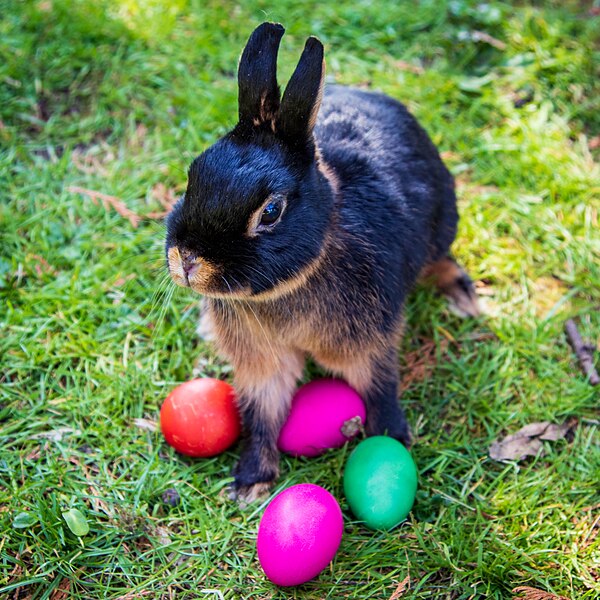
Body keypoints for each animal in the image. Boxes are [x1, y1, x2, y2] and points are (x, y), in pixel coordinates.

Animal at [165, 22, 478, 502]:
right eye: (192, 174)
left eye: (270, 212)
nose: (187, 259)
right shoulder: (263, 366)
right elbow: (261, 413)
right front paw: (252, 481)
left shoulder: (368, 343)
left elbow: (380, 385)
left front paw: (393, 438)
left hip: (444, 222)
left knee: (439, 258)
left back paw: (462, 294)